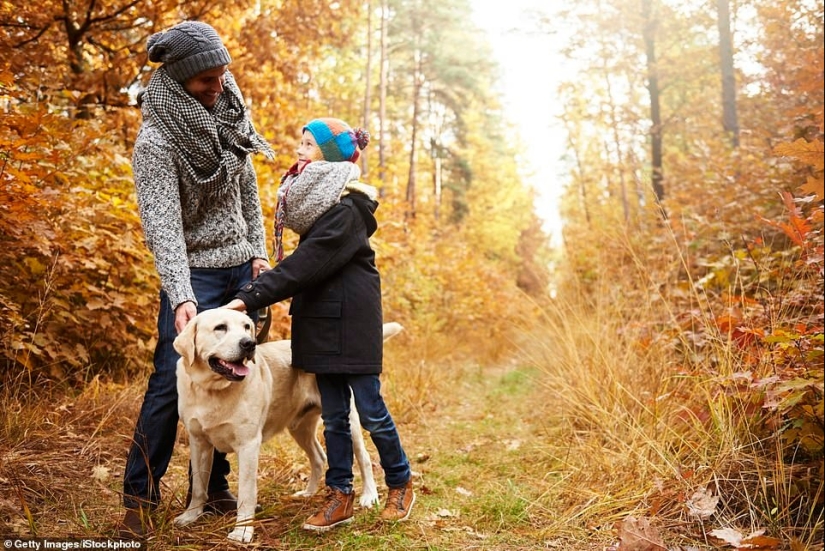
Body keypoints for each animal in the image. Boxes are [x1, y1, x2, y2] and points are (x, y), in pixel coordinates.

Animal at [174, 310, 402, 544]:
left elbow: (246, 493)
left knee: (364, 458)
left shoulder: (248, 446)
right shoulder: (198, 442)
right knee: (318, 457)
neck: (212, 390)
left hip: (350, 421)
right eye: (220, 327)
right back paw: (308, 493)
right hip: (300, 428)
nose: (249, 343)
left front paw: (243, 531)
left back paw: (369, 495)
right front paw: (191, 516)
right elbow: (199, 485)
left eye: (247, 326)